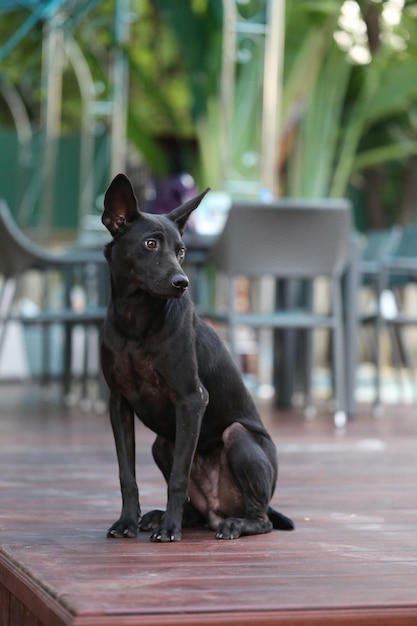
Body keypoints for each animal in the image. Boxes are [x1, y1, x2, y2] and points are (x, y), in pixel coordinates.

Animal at [100, 173, 292, 540]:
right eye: (150, 244)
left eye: (181, 250)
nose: (182, 282)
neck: (136, 323)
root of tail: (216, 510)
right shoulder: (119, 403)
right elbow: (126, 474)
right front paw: (127, 521)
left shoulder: (191, 400)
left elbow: (177, 479)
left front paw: (170, 531)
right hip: (162, 443)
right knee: (194, 506)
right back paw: (161, 517)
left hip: (237, 436)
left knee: (261, 519)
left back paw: (231, 524)